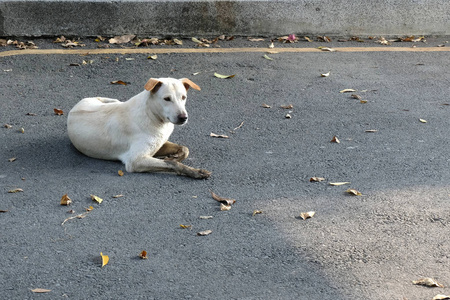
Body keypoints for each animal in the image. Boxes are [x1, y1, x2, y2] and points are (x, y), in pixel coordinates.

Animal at [67, 77, 211, 179]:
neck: (152, 115)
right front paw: (195, 171)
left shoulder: (159, 144)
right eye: (167, 99)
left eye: (183, 97)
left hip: (111, 100)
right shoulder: (135, 160)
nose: (183, 118)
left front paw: (173, 157)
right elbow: (172, 164)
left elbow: (184, 149)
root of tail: (74, 107)